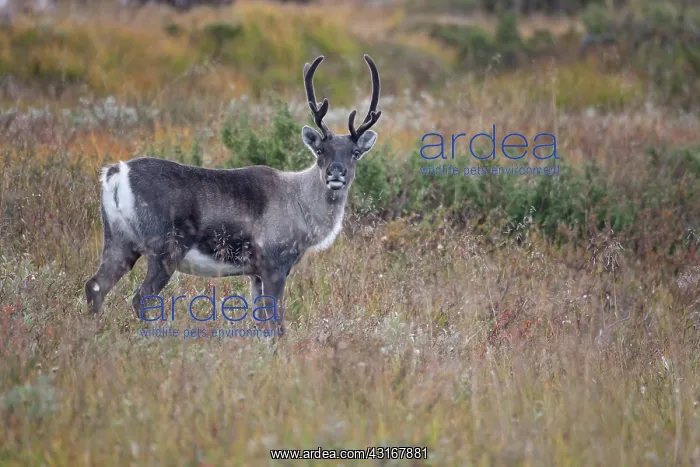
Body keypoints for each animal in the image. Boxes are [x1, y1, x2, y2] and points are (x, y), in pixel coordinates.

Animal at [84, 54, 382, 337]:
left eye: (355, 153)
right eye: (320, 151)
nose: (336, 173)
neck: (301, 206)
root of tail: (116, 173)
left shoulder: (255, 273)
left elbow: (261, 321)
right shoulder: (274, 263)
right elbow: (277, 323)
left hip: (119, 239)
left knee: (95, 285)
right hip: (164, 247)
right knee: (140, 297)